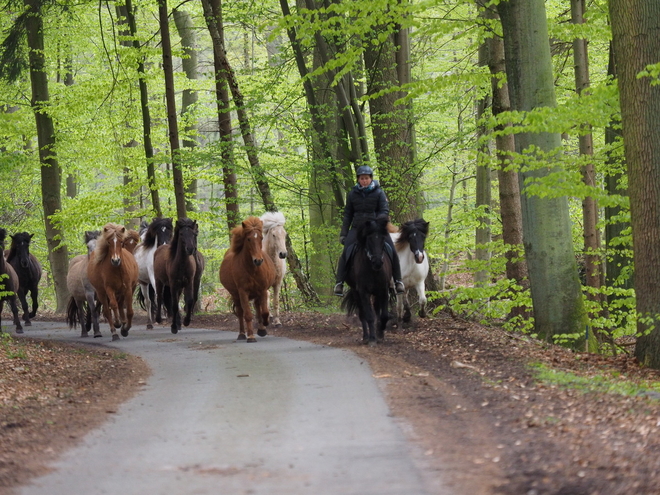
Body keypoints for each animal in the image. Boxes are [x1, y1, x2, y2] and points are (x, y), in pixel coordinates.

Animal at [340, 215, 392, 346]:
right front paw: (372, 338)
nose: (377, 262)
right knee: (362, 314)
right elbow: (369, 316)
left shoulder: (383, 290)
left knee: (377, 310)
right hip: (356, 292)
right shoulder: (364, 292)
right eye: (369, 239)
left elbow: (384, 315)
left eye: (383, 239)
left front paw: (380, 332)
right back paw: (366, 337)